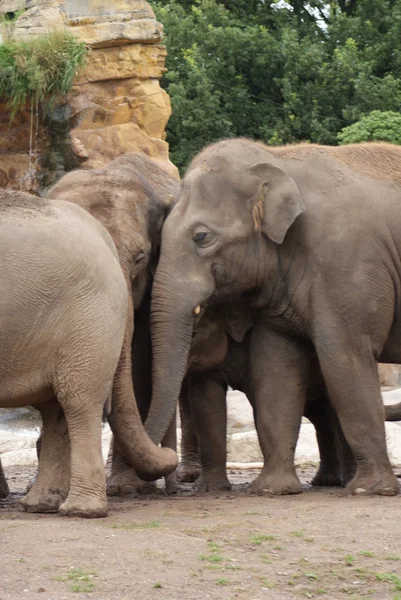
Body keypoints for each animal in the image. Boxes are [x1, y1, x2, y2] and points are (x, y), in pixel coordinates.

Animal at [0, 191, 175, 516]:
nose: (170, 451)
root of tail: (102, 236)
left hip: (87, 317)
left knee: (78, 401)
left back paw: (80, 510)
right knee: (54, 408)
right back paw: (41, 505)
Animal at [145, 139, 400, 496]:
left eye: (201, 237)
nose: (174, 483)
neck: (276, 159)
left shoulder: (348, 262)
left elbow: (345, 356)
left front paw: (369, 490)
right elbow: (276, 366)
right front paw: (272, 489)